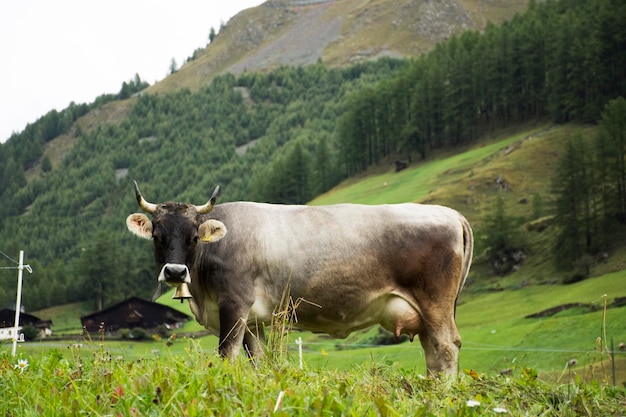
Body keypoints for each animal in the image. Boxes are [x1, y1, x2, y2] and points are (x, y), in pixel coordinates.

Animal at [124, 181, 470, 374]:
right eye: (156, 236)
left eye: (194, 236)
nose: (175, 271)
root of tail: (450, 214)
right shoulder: (254, 320)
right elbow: (258, 360)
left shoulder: (234, 304)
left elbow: (226, 354)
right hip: (425, 314)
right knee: (433, 353)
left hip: (434, 303)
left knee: (446, 348)